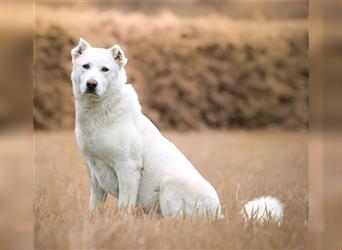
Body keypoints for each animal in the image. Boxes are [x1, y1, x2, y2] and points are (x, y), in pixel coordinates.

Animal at [71, 38, 223, 218]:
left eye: (105, 69)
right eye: (86, 66)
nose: (91, 84)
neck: (99, 111)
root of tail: (218, 213)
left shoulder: (128, 167)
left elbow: (124, 206)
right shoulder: (93, 170)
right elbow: (94, 206)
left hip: (169, 183)